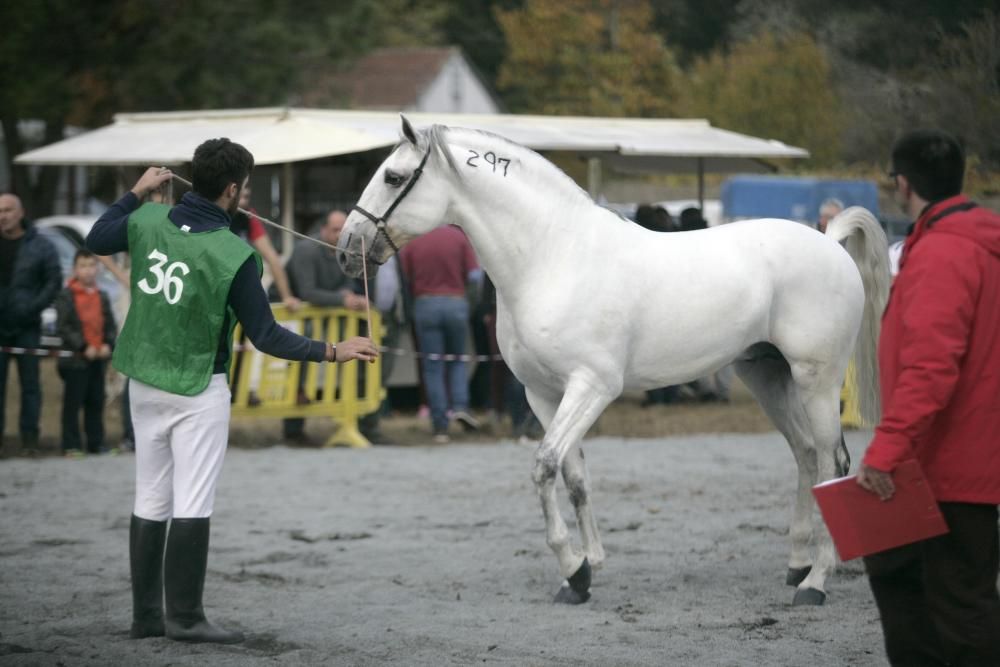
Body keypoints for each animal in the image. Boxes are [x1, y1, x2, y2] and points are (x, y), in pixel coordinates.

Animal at [338, 117, 892, 608]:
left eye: (392, 176)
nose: (346, 250)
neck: (553, 257)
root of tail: (829, 241)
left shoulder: (592, 386)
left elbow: (544, 466)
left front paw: (574, 567)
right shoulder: (544, 394)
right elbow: (574, 476)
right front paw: (586, 569)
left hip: (817, 381)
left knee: (833, 464)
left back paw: (816, 582)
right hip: (766, 375)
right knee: (805, 455)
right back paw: (797, 565)